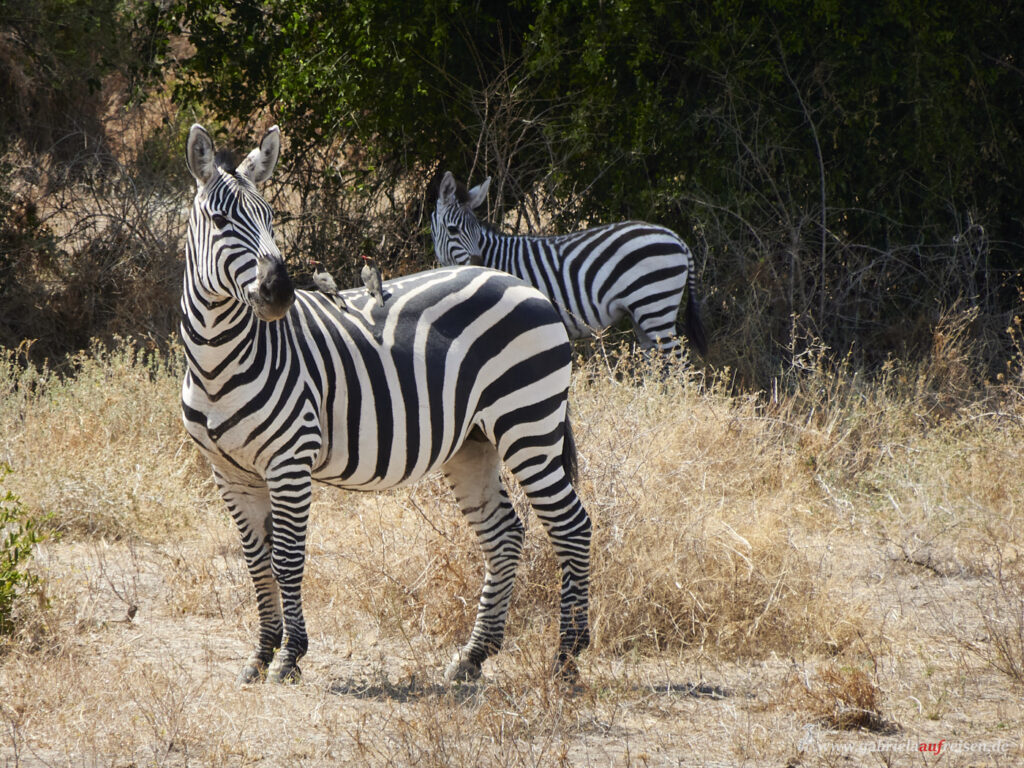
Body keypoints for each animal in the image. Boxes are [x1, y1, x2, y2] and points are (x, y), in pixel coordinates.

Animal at [180, 124, 589, 684]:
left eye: (270, 218)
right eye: (221, 222)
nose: (280, 293)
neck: (218, 359)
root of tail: (523, 284)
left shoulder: (290, 460)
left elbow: (287, 559)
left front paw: (289, 657)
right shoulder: (228, 471)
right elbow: (257, 563)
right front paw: (260, 654)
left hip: (528, 423)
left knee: (572, 528)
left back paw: (567, 660)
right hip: (474, 442)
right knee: (504, 534)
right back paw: (473, 656)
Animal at [428, 171, 708, 360]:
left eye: (477, 231)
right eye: (453, 230)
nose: (481, 265)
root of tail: (676, 238)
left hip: (655, 303)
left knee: (678, 363)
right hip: (643, 313)